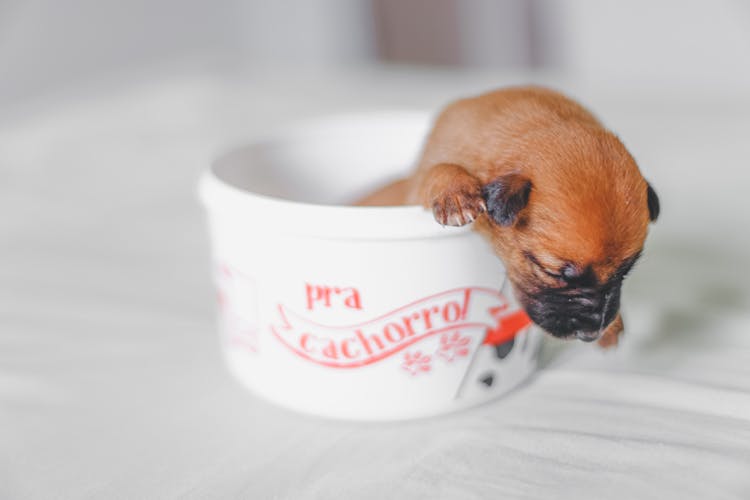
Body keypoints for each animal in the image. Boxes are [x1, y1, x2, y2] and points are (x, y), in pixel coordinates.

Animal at [362, 86, 660, 346]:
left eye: (625, 273)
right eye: (552, 273)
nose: (591, 334)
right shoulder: (417, 185)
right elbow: (439, 169)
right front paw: (455, 195)